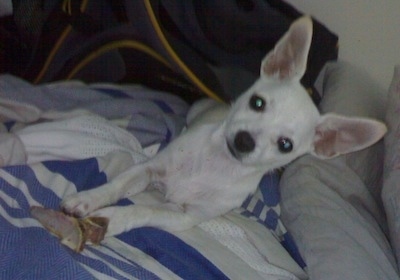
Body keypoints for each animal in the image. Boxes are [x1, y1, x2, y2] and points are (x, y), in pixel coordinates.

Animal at [61, 16, 386, 237]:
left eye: (285, 145)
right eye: (257, 103)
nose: (244, 140)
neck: (216, 164)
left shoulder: (183, 216)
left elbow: (143, 209)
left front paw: (111, 219)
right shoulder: (148, 169)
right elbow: (117, 185)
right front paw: (89, 199)